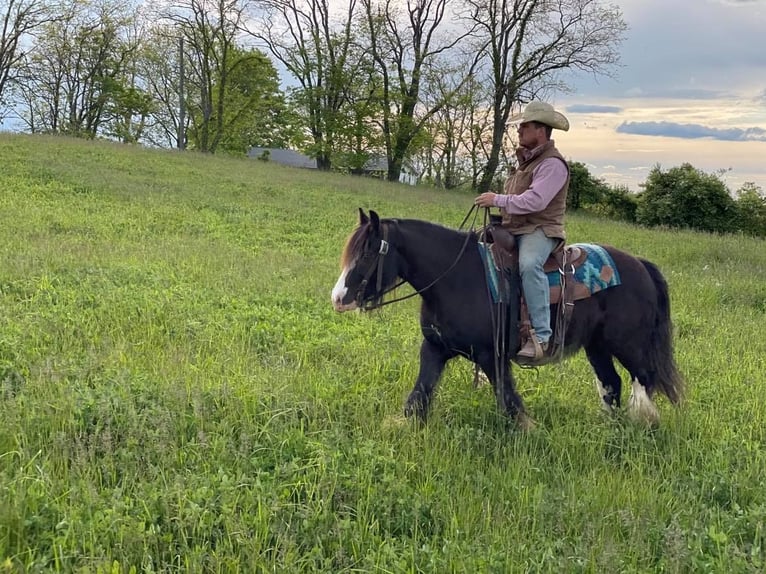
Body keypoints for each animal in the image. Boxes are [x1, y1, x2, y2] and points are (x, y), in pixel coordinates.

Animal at [330, 209, 684, 430]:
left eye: (367, 253)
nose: (338, 298)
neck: (455, 277)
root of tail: (640, 265)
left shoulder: (492, 356)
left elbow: (509, 402)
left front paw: (528, 432)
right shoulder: (433, 349)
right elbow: (419, 396)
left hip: (628, 345)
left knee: (643, 380)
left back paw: (644, 424)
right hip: (597, 346)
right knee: (612, 383)